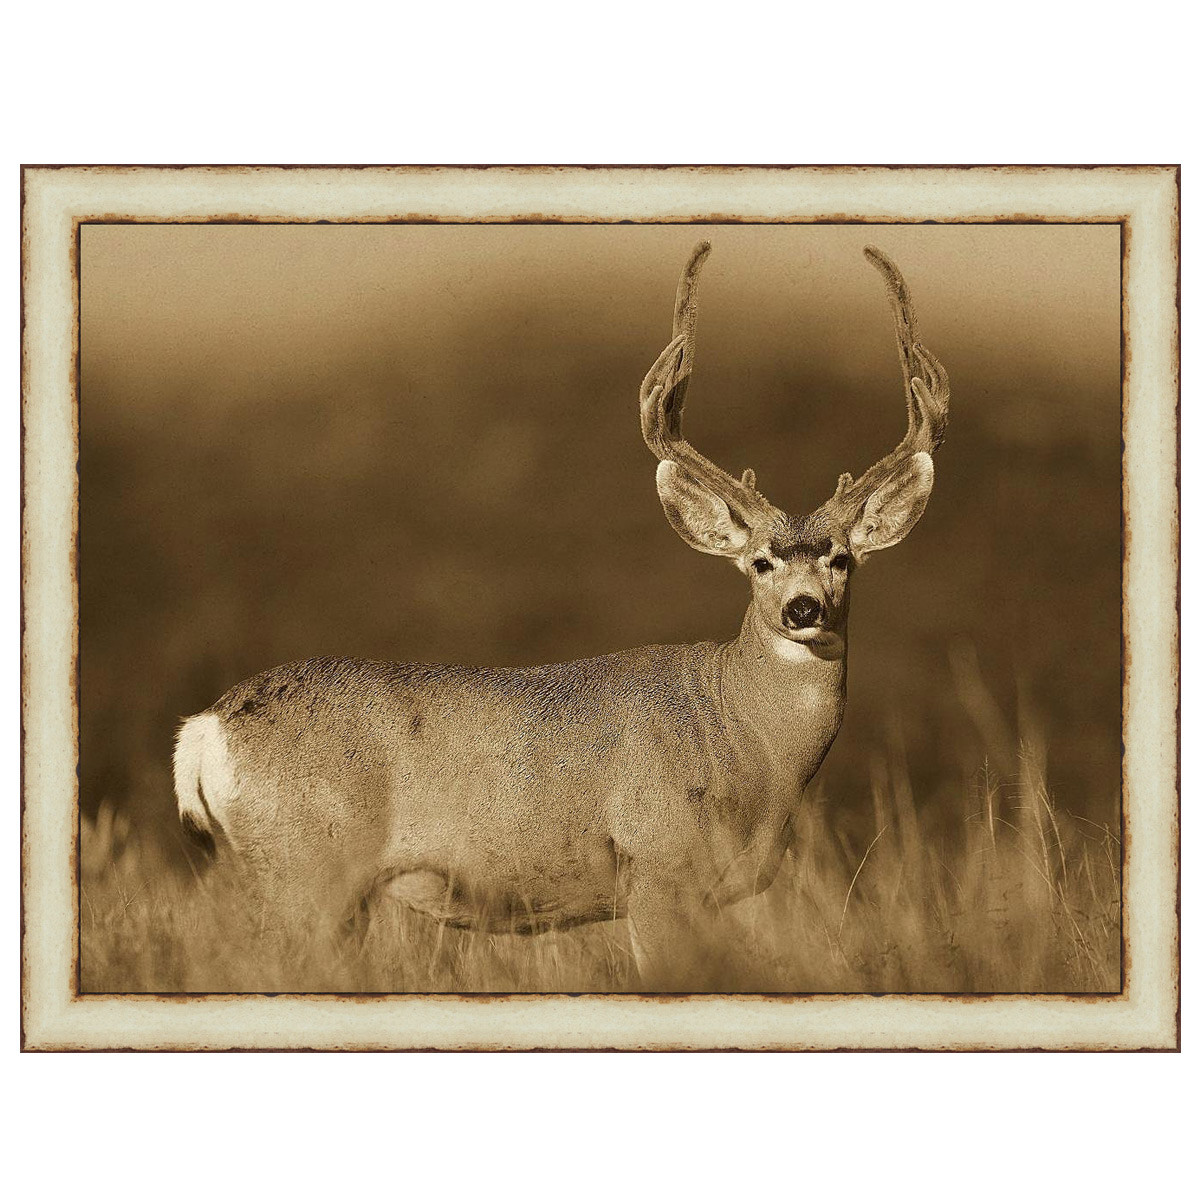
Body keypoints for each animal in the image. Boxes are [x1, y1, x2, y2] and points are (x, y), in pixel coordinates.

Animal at [172, 241, 949, 986]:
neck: (745, 742)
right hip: (306, 872)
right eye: (760, 561)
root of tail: (206, 728)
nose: (803, 607)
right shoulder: (657, 868)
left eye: (842, 559)